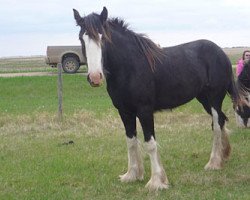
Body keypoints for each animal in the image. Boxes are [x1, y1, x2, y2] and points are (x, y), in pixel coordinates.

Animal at [73, 6, 240, 191]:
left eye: (103, 37)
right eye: (81, 38)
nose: (95, 78)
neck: (129, 67)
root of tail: (221, 53)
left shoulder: (144, 111)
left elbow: (150, 144)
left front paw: (156, 182)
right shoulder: (125, 112)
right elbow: (131, 141)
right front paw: (132, 175)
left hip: (214, 99)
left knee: (217, 125)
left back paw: (214, 163)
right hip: (204, 100)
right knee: (221, 121)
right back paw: (224, 155)